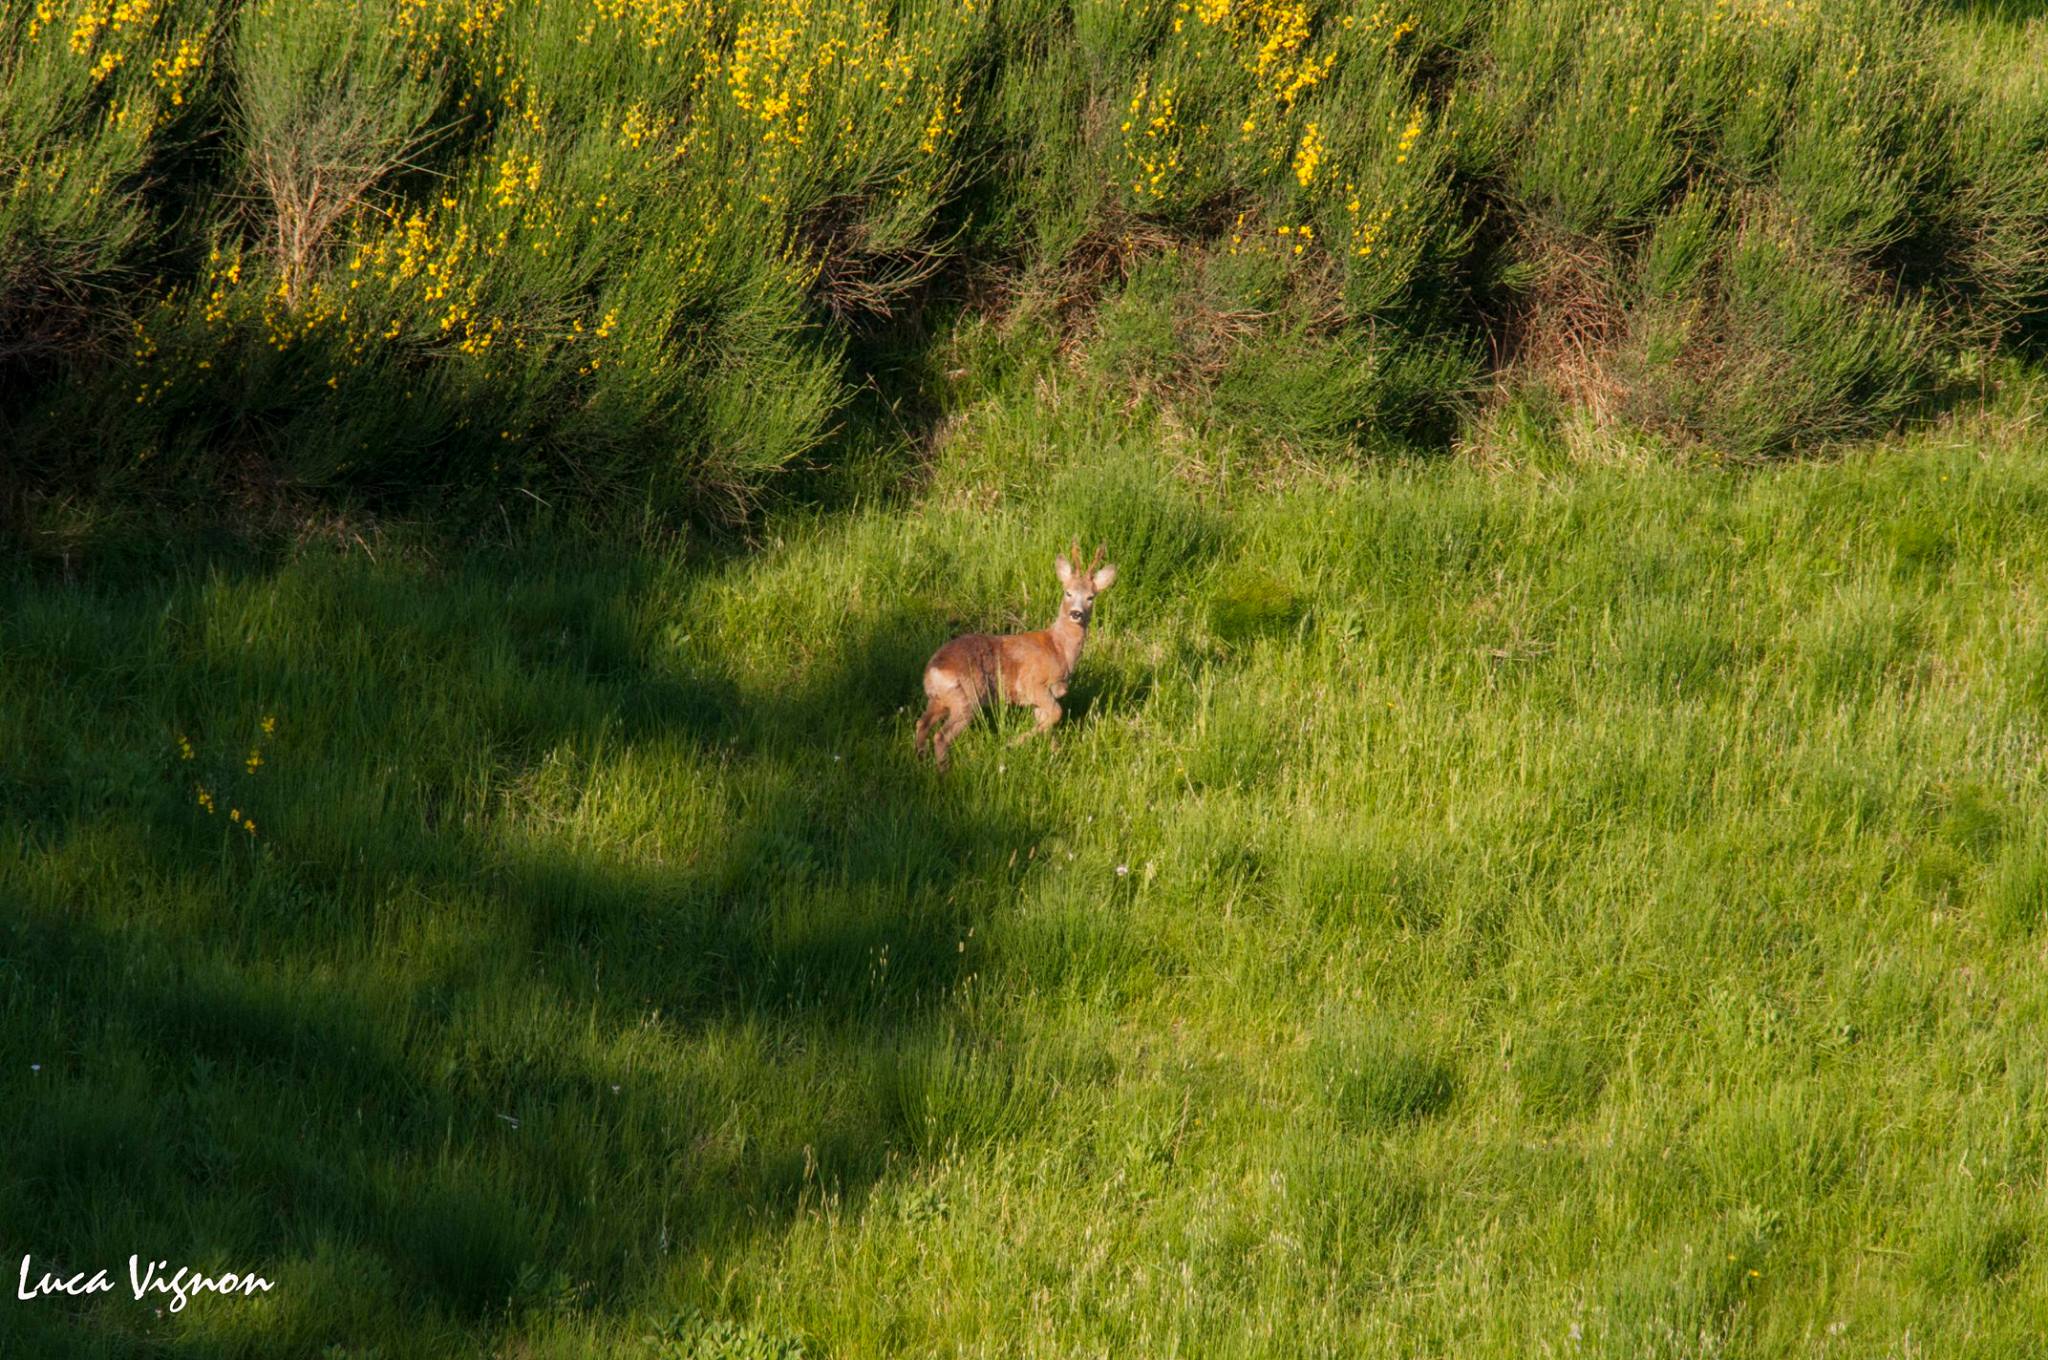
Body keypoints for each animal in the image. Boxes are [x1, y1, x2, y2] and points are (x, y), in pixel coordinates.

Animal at [913, 540, 1118, 770]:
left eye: (1091, 597)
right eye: (1068, 592)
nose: (1076, 613)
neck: (1059, 648)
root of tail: (933, 671)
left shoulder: (1042, 697)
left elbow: (1048, 723)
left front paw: (1055, 758)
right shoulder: (1034, 684)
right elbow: (1056, 714)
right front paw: (1011, 744)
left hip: (939, 699)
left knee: (921, 723)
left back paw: (920, 762)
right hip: (965, 699)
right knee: (941, 736)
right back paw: (944, 772)